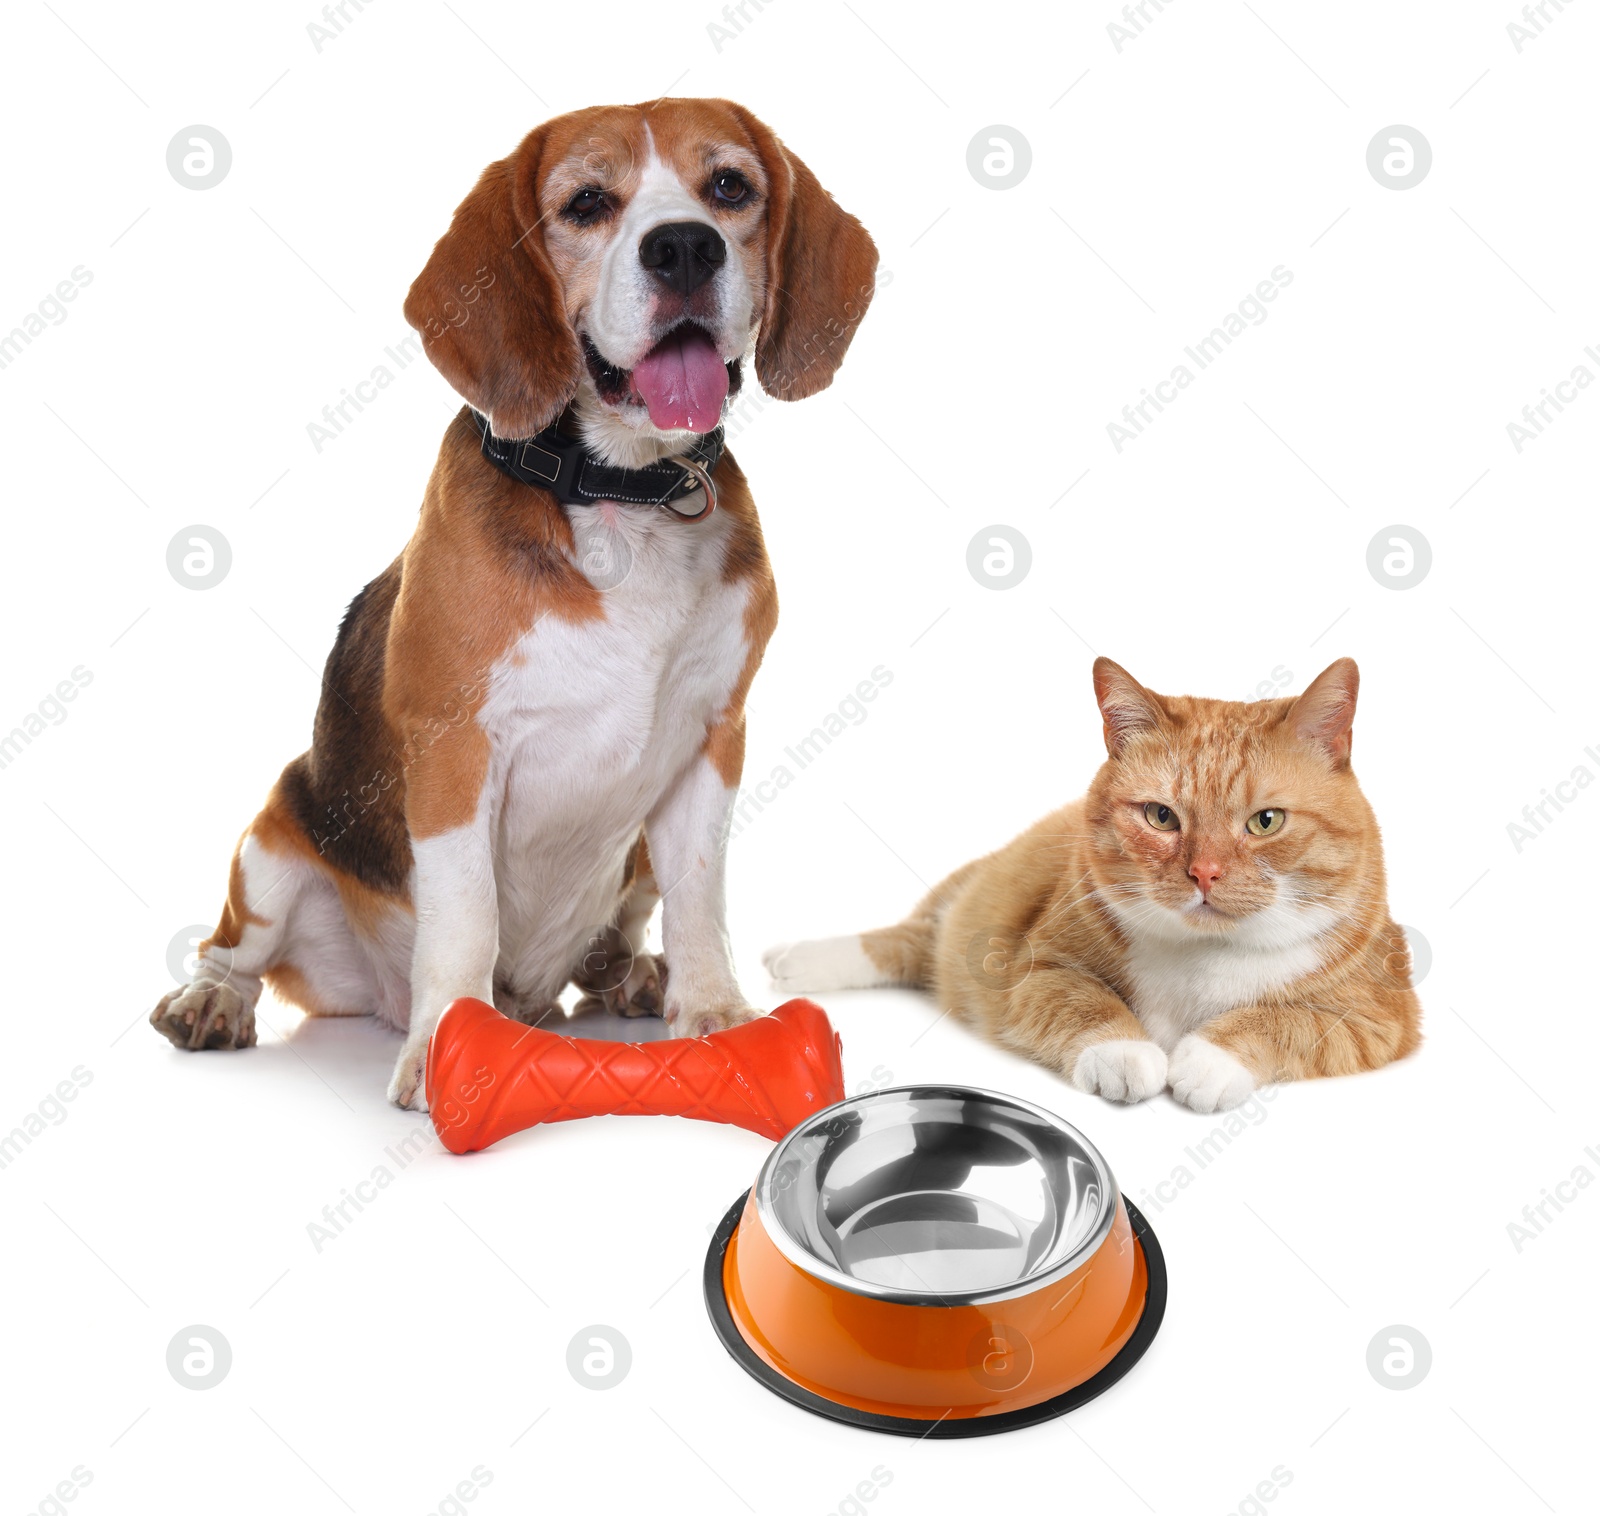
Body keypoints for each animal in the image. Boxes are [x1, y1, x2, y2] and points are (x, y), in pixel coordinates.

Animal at [148, 100, 876, 1106]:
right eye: (587, 202)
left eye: (730, 186)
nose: (684, 247)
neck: (618, 493)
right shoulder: (455, 752)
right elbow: (464, 917)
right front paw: (444, 1046)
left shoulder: (712, 741)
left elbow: (701, 898)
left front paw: (716, 1014)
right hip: (272, 844)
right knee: (235, 950)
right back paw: (214, 1001)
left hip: (632, 858)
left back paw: (626, 975)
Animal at [768, 658, 1420, 1113]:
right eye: (1161, 816)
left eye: (1266, 821)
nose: (1204, 873)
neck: (1203, 957)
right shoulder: (1035, 967)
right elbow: (1086, 1001)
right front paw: (1124, 1052)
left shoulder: (1377, 1019)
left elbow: (1282, 1021)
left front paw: (1208, 1060)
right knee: (911, 938)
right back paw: (797, 960)